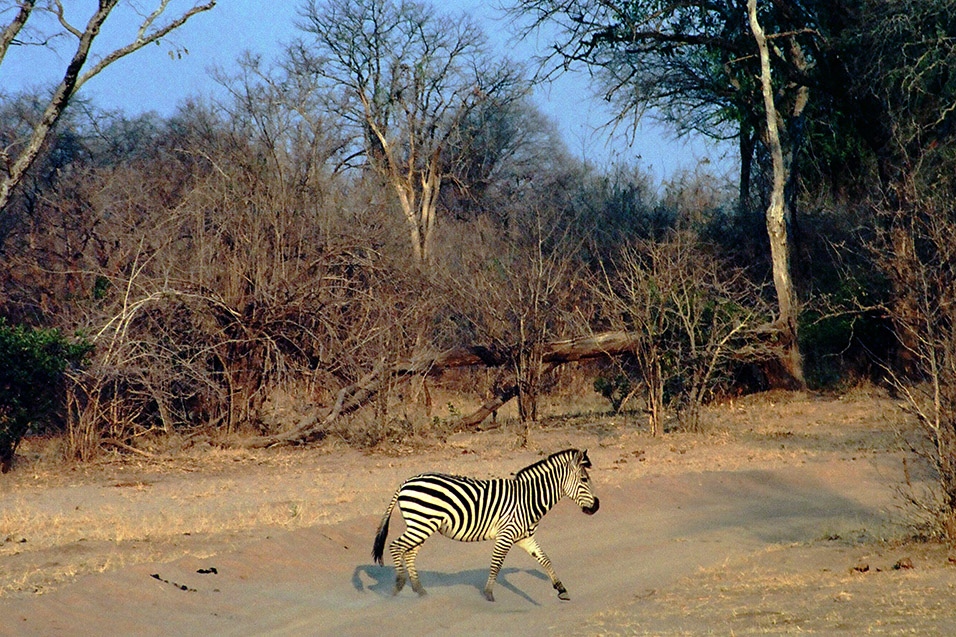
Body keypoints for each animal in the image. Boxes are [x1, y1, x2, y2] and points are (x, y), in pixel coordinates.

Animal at [372, 448, 596, 600]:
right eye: (584, 479)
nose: (596, 507)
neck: (528, 499)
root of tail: (406, 482)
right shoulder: (506, 534)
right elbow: (496, 564)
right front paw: (488, 594)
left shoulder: (525, 538)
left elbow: (545, 560)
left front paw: (561, 589)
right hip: (421, 524)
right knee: (396, 546)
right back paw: (399, 585)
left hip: (421, 526)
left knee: (409, 553)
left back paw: (420, 590)